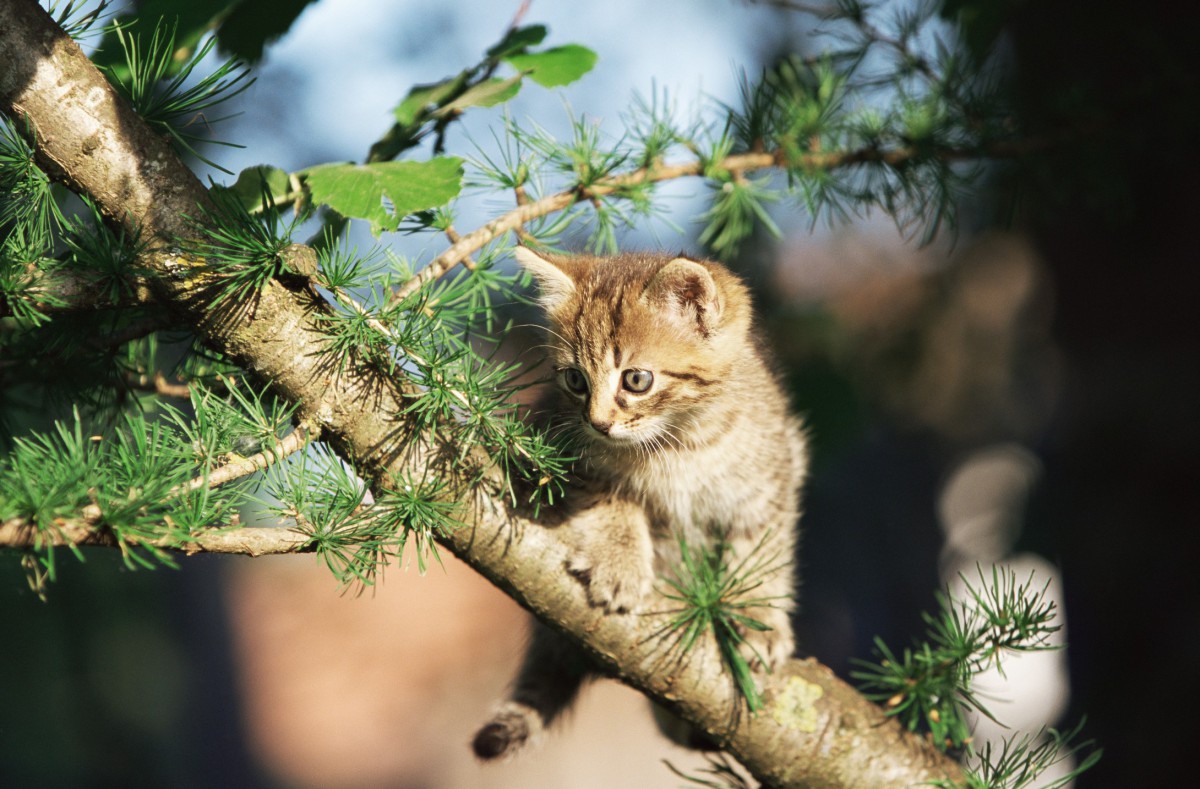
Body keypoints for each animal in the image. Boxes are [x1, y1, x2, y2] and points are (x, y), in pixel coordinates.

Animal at [470, 247, 806, 757]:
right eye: (575, 380)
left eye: (636, 380)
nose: (597, 423)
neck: (680, 444)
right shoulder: (554, 446)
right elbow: (607, 497)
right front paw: (620, 561)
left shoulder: (773, 478)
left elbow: (761, 554)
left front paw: (755, 617)